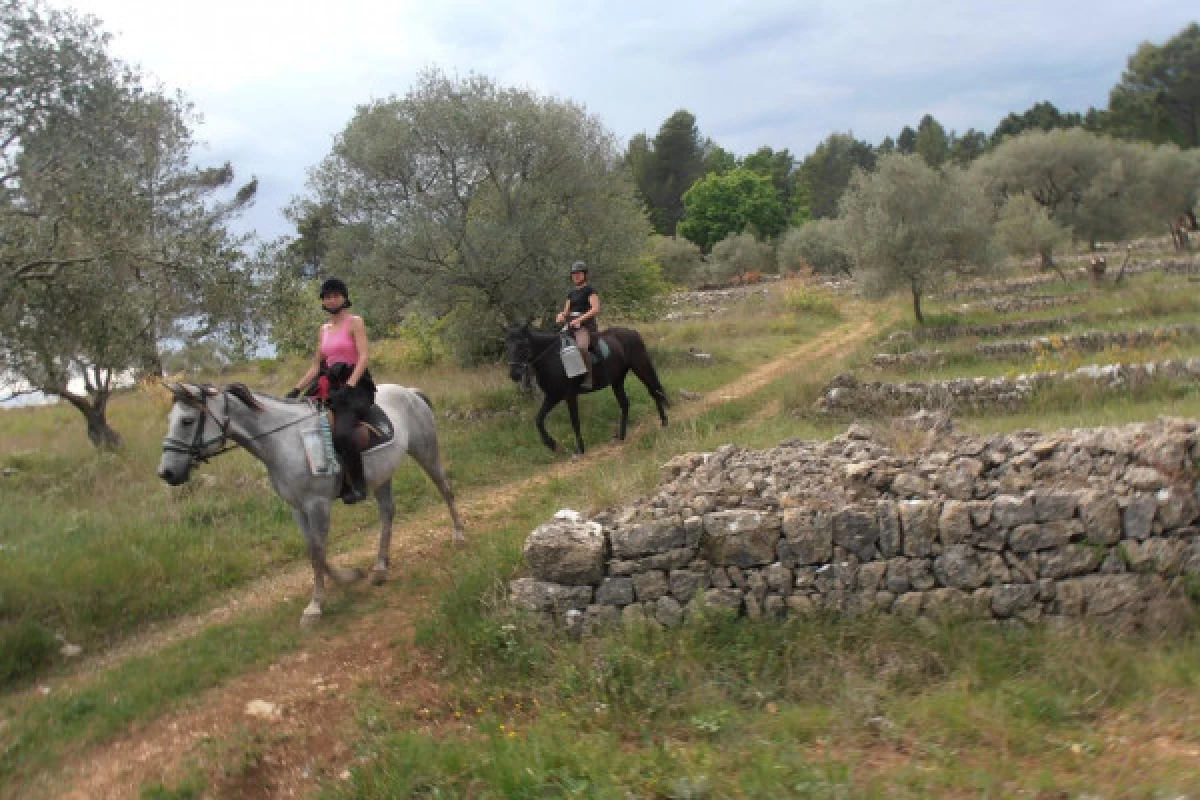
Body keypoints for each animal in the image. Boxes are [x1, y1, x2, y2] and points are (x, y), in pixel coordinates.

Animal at [156, 383, 463, 623]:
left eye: (186, 420)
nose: (166, 473)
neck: (285, 441)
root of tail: (410, 392)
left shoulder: (317, 505)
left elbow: (317, 552)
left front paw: (315, 606)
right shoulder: (298, 508)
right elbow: (313, 551)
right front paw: (348, 577)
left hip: (425, 452)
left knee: (445, 489)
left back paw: (459, 535)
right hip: (382, 475)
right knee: (388, 512)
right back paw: (380, 567)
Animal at [504, 321, 667, 453]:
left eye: (522, 345)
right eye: (507, 346)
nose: (514, 374)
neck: (553, 358)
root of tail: (632, 332)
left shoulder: (569, 395)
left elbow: (575, 422)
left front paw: (580, 449)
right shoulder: (553, 396)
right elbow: (538, 419)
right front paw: (551, 444)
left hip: (640, 366)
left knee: (654, 391)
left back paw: (664, 422)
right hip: (617, 380)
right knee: (625, 403)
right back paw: (622, 436)